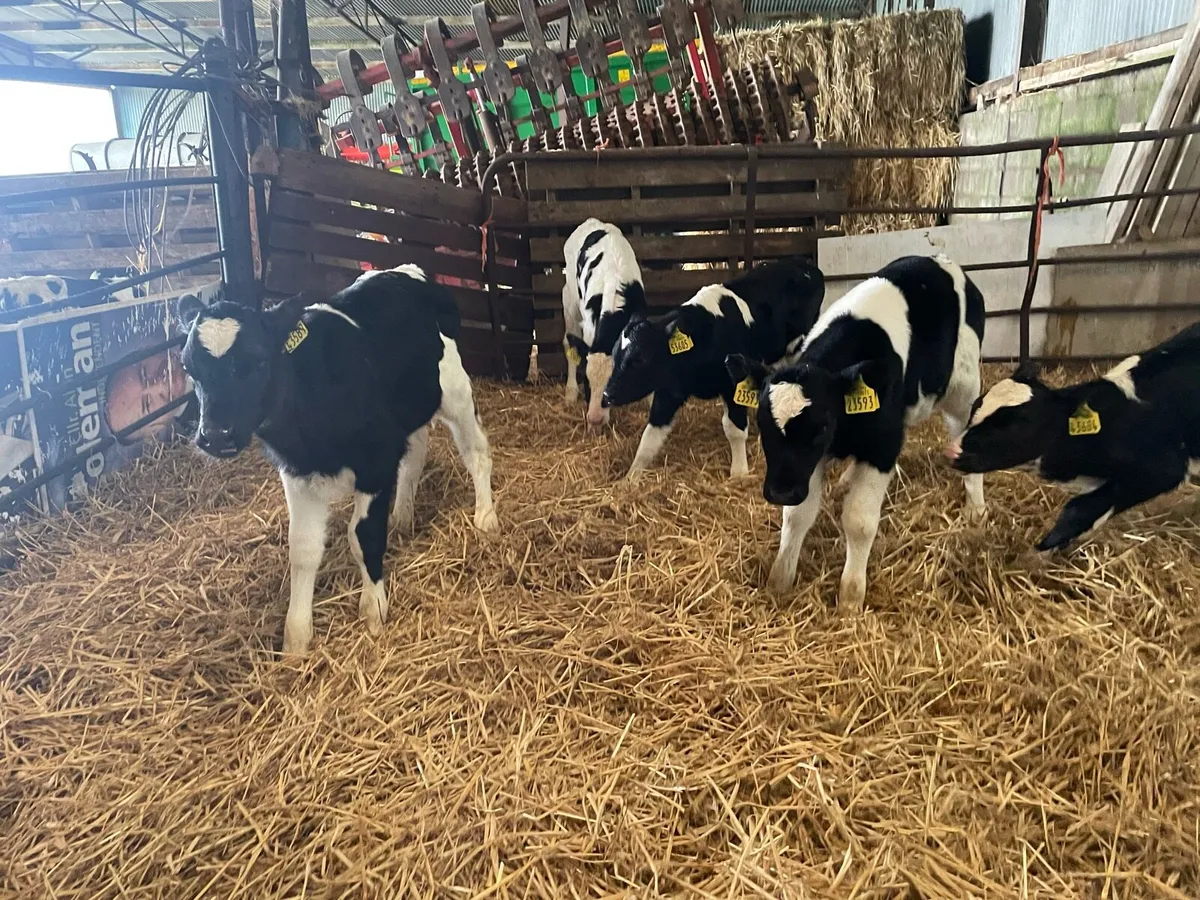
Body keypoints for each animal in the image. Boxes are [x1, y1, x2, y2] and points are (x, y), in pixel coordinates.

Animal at [178, 264, 499, 655]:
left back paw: (485, 516)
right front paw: (296, 638)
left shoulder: (375, 462)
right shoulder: (298, 475)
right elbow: (302, 549)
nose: (215, 435)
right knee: (416, 452)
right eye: (189, 368)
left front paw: (373, 609)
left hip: (454, 391)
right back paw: (403, 516)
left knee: (476, 453)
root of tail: (404, 271)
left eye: (259, 361)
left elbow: (364, 536)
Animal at [560, 218, 647, 428]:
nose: (595, 418)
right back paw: (570, 392)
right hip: (569, 299)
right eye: (586, 381)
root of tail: (592, 221)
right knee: (569, 344)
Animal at [602, 256, 826, 479]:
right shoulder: (670, 390)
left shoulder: (733, 382)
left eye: (640, 359)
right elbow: (650, 435)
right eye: (614, 357)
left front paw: (739, 473)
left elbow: (734, 429)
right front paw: (631, 477)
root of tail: (802, 264)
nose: (607, 395)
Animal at [726, 254, 987, 610]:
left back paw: (976, 506)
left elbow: (859, 521)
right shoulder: (808, 464)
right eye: (763, 423)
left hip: (964, 387)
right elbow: (797, 515)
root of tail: (940, 260)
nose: (780, 491)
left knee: (966, 426)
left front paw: (851, 596)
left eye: (822, 425)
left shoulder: (881, 446)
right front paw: (781, 578)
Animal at [947, 322, 1200, 551]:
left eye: (1013, 425)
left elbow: (1079, 510)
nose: (953, 450)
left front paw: (1037, 554)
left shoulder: (1163, 471)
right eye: (976, 406)